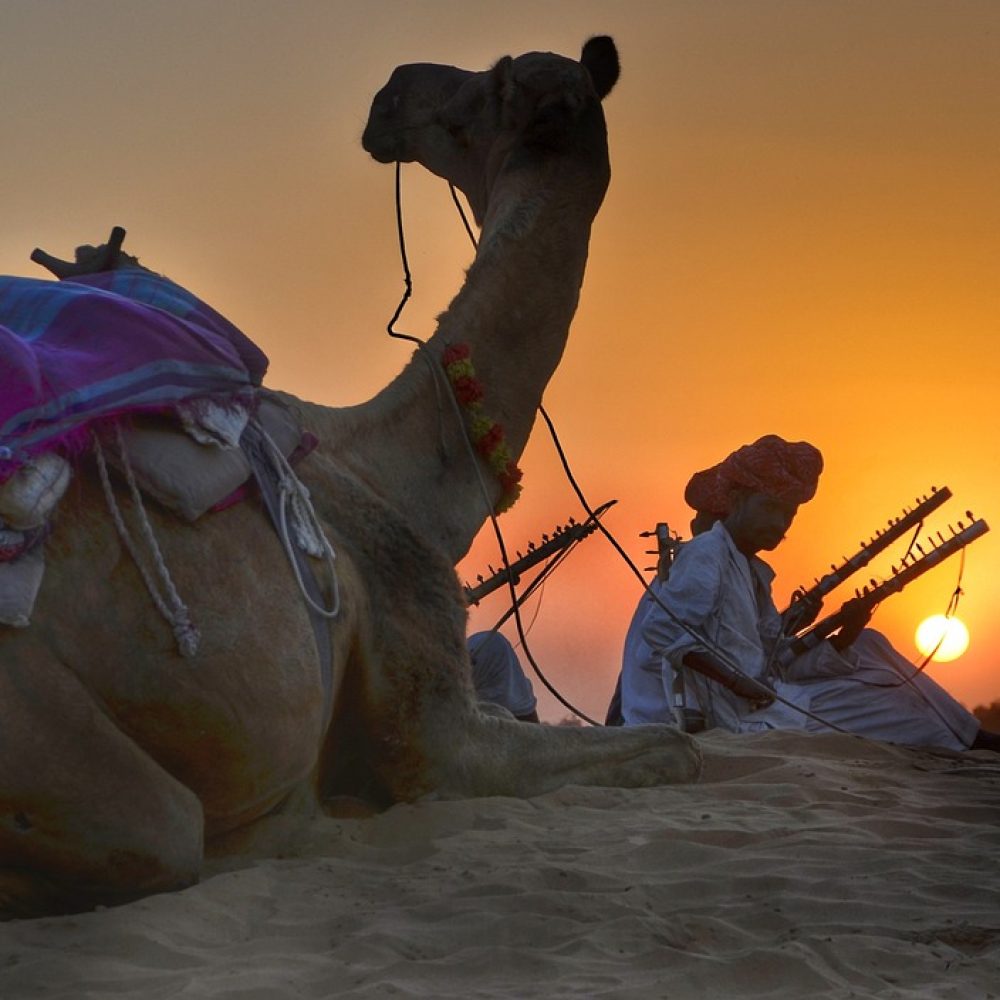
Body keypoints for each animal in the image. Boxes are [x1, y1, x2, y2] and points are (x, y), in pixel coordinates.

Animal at [0, 35, 700, 916]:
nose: (391, 90)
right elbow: (675, 748)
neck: (400, 474)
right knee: (164, 830)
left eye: (495, 78)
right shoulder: (437, 730)